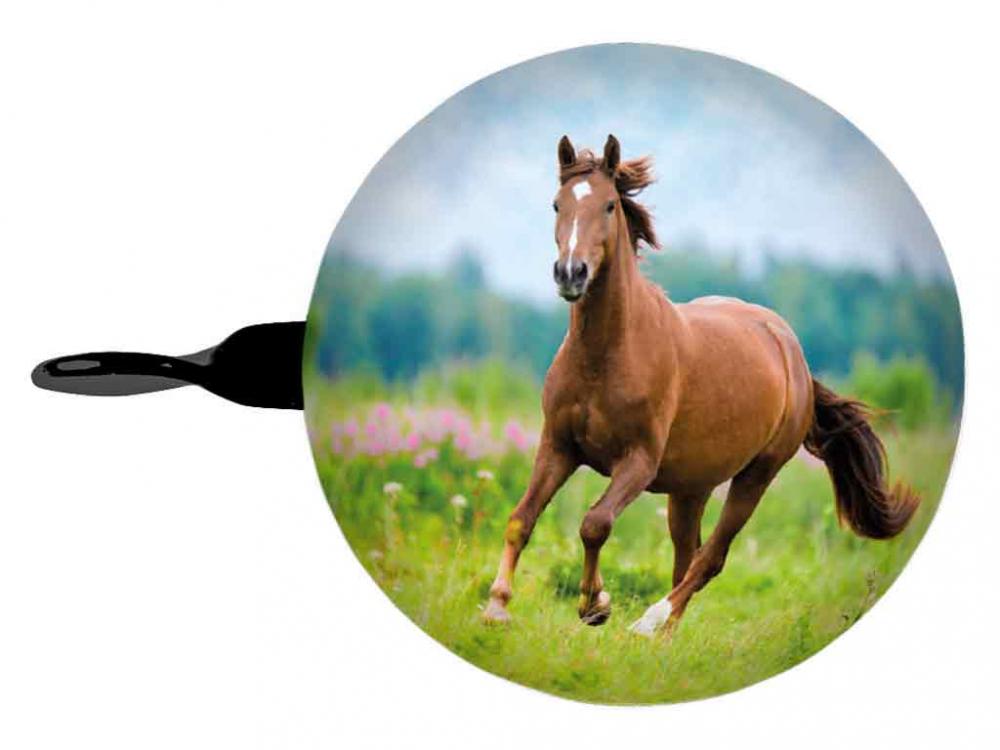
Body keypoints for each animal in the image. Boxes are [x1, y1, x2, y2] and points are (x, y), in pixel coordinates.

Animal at [482, 134, 920, 637]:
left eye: (610, 205)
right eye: (557, 204)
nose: (570, 273)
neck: (605, 357)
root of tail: (792, 353)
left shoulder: (638, 461)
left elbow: (595, 523)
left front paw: (596, 605)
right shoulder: (558, 445)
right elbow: (522, 518)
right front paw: (497, 605)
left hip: (756, 475)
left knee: (710, 558)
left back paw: (650, 622)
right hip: (692, 487)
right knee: (685, 556)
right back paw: (666, 636)